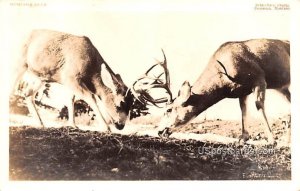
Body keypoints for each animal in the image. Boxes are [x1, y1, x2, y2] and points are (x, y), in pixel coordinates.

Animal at [11, 29, 171, 132]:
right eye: (119, 104)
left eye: (131, 105)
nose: (120, 125)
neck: (91, 69)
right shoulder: (70, 77)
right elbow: (91, 97)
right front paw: (105, 127)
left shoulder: (71, 82)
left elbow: (71, 99)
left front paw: (73, 125)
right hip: (20, 62)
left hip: (41, 77)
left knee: (27, 93)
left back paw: (40, 123)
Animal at [158, 38, 290, 143]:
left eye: (168, 110)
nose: (159, 131)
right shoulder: (242, 91)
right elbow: (243, 110)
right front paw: (243, 138)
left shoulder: (259, 78)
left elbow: (259, 106)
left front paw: (272, 140)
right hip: (282, 88)